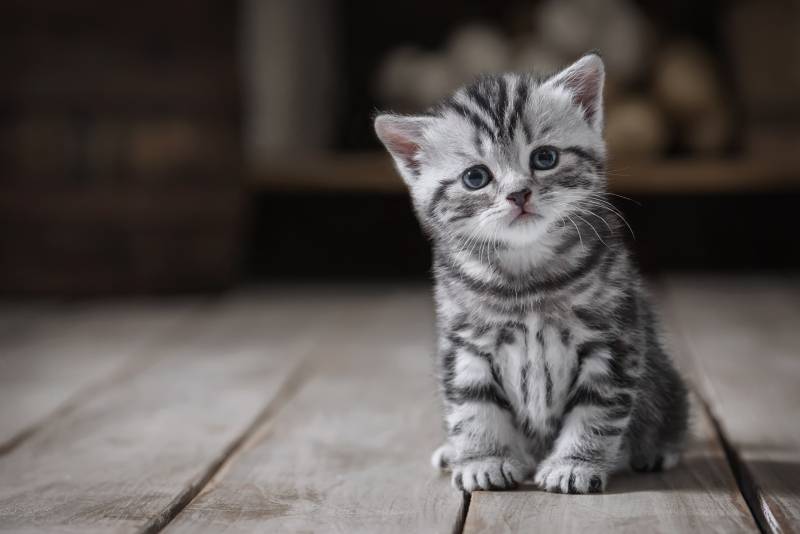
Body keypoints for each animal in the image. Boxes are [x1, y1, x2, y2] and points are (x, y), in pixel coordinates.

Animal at [376, 52, 688, 496]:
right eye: (476, 177)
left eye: (545, 158)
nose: (518, 194)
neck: (526, 278)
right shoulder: (466, 344)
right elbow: (472, 405)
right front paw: (483, 459)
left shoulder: (612, 340)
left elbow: (596, 409)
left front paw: (574, 464)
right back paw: (455, 451)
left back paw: (657, 449)